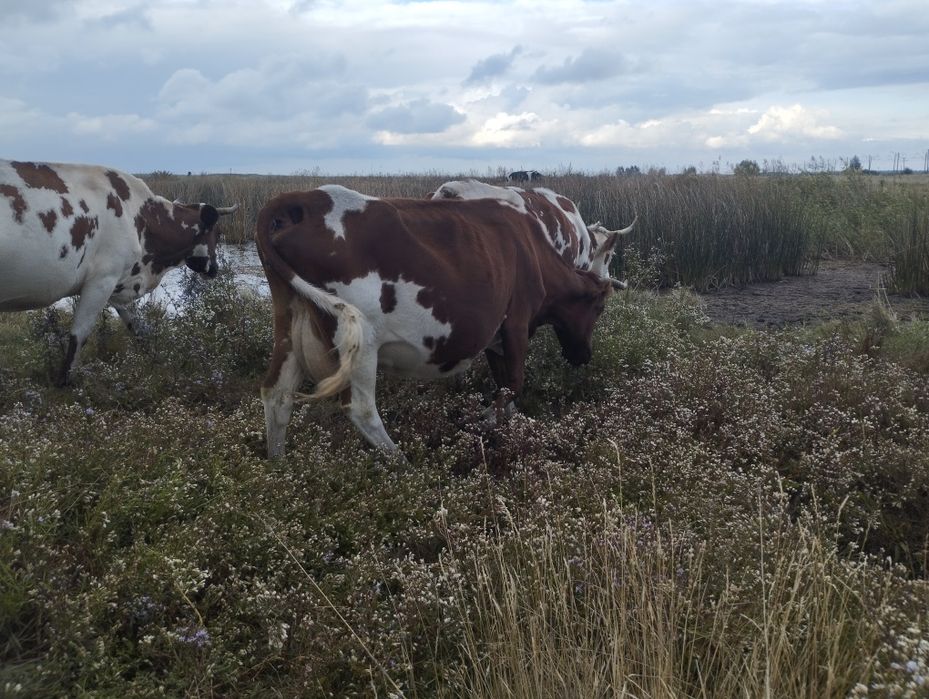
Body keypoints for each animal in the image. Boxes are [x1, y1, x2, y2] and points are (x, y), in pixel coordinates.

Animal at [0, 159, 238, 384]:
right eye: (218, 233)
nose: (214, 269)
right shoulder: (102, 280)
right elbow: (79, 334)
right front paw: (64, 382)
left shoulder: (120, 283)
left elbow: (137, 327)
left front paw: (154, 360)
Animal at [256, 185, 613, 456]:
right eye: (599, 307)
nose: (585, 355)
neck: (531, 250)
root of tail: (305, 198)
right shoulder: (516, 323)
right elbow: (512, 385)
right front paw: (481, 424)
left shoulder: (496, 336)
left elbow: (503, 385)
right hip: (359, 342)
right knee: (360, 408)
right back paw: (402, 464)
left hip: (290, 324)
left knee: (277, 395)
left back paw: (278, 464)